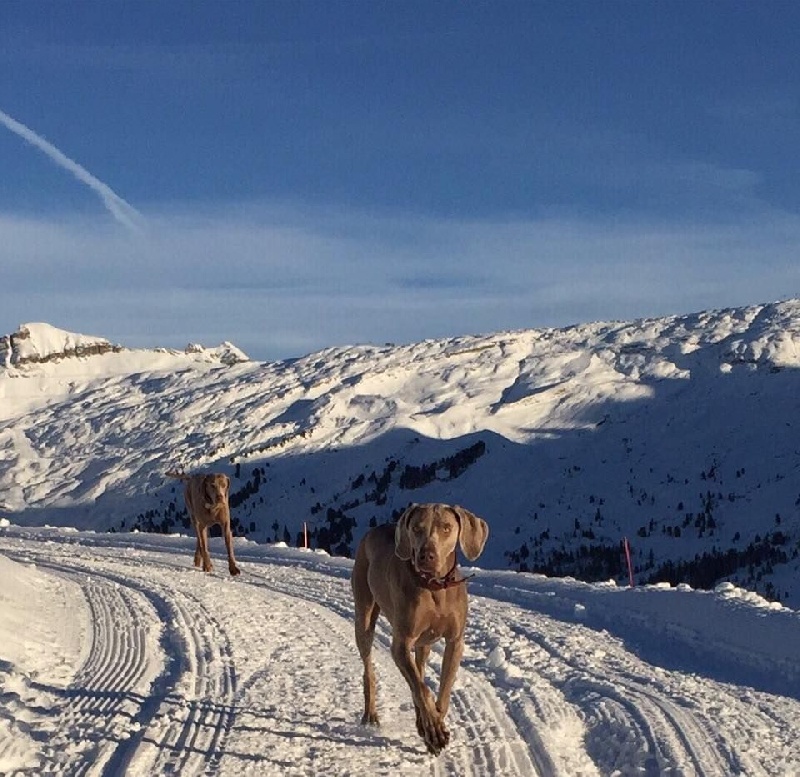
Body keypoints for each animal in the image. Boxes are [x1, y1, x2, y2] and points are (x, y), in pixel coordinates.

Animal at [350, 504, 488, 752]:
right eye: (416, 528)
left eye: (446, 527)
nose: (426, 555)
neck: (435, 587)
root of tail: (372, 531)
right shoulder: (401, 644)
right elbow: (422, 689)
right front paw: (434, 730)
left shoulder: (455, 642)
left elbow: (442, 690)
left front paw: (434, 723)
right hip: (364, 615)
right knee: (370, 669)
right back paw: (371, 714)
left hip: (424, 643)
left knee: (419, 671)